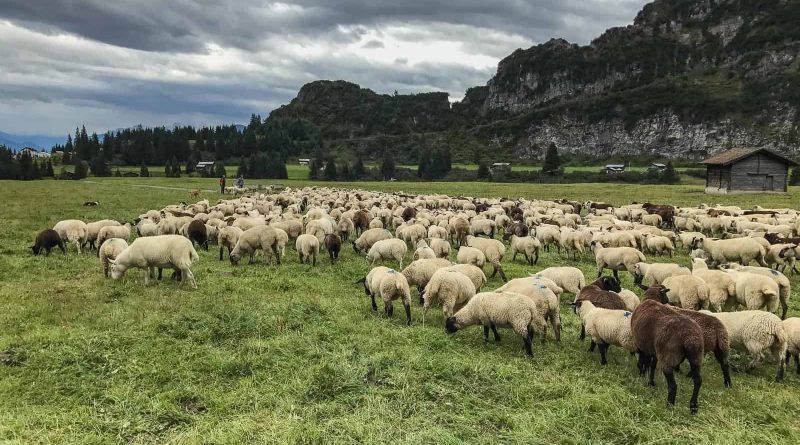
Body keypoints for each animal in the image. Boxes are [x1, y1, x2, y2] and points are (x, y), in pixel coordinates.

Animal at [631, 285, 704, 414]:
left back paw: (669, 406)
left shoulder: (642, 346)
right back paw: (693, 407)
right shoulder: (654, 351)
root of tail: (690, 338)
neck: (650, 299)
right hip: (696, 357)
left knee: (673, 385)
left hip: (668, 357)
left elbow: (644, 363)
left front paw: (642, 375)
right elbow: (652, 366)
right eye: (665, 294)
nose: (669, 301)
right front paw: (650, 382)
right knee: (698, 381)